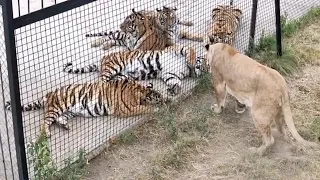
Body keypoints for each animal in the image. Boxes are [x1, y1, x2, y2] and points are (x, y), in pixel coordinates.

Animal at [5, 79, 162, 137]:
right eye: (158, 97)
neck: (138, 91)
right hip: (56, 107)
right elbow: (143, 108)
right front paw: (156, 110)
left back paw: (65, 126)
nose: (164, 100)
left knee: (58, 120)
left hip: (69, 112)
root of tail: (49, 94)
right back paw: (47, 133)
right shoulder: (126, 109)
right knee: (45, 121)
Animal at [62, 44, 208, 95]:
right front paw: (191, 60)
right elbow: (190, 51)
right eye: (205, 65)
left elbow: (174, 80)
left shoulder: (169, 73)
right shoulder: (176, 49)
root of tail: (101, 61)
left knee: (109, 83)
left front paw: (175, 88)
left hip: (121, 76)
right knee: (101, 82)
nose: (201, 69)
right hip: (115, 66)